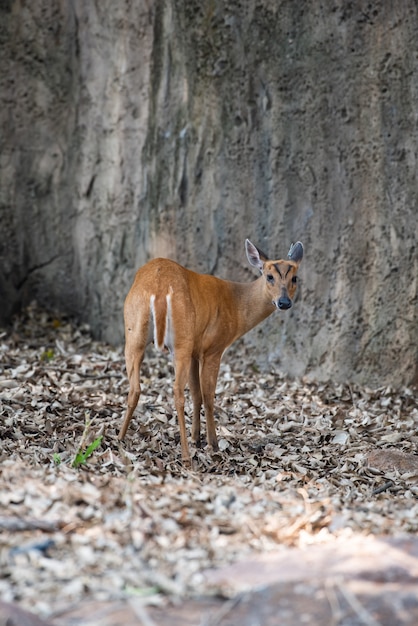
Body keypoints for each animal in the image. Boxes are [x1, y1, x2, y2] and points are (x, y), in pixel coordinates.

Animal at [118, 236, 304, 460]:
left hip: (134, 331)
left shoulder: (195, 351)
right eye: (269, 276)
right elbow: (208, 396)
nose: (284, 302)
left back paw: (119, 438)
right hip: (180, 339)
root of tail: (158, 289)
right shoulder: (214, 348)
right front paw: (212, 443)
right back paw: (186, 456)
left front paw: (196, 438)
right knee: (177, 392)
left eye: (294, 278)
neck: (237, 306)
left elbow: (196, 393)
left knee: (135, 388)